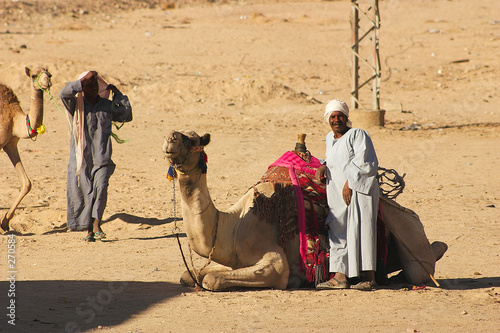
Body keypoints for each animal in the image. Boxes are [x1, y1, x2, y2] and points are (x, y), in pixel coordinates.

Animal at [0, 66, 52, 232]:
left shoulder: (10, 144)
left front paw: (5, 222)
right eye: (34, 75)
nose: (47, 81)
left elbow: (27, 183)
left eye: (49, 74)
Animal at [162, 128, 448, 290]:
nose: (170, 138)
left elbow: (212, 280)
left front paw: (295, 280)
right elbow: (189, 275)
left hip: (409, 234)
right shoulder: (233, 261)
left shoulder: (274, 262)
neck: (231, 226)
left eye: (192, 138)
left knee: (420, 267)